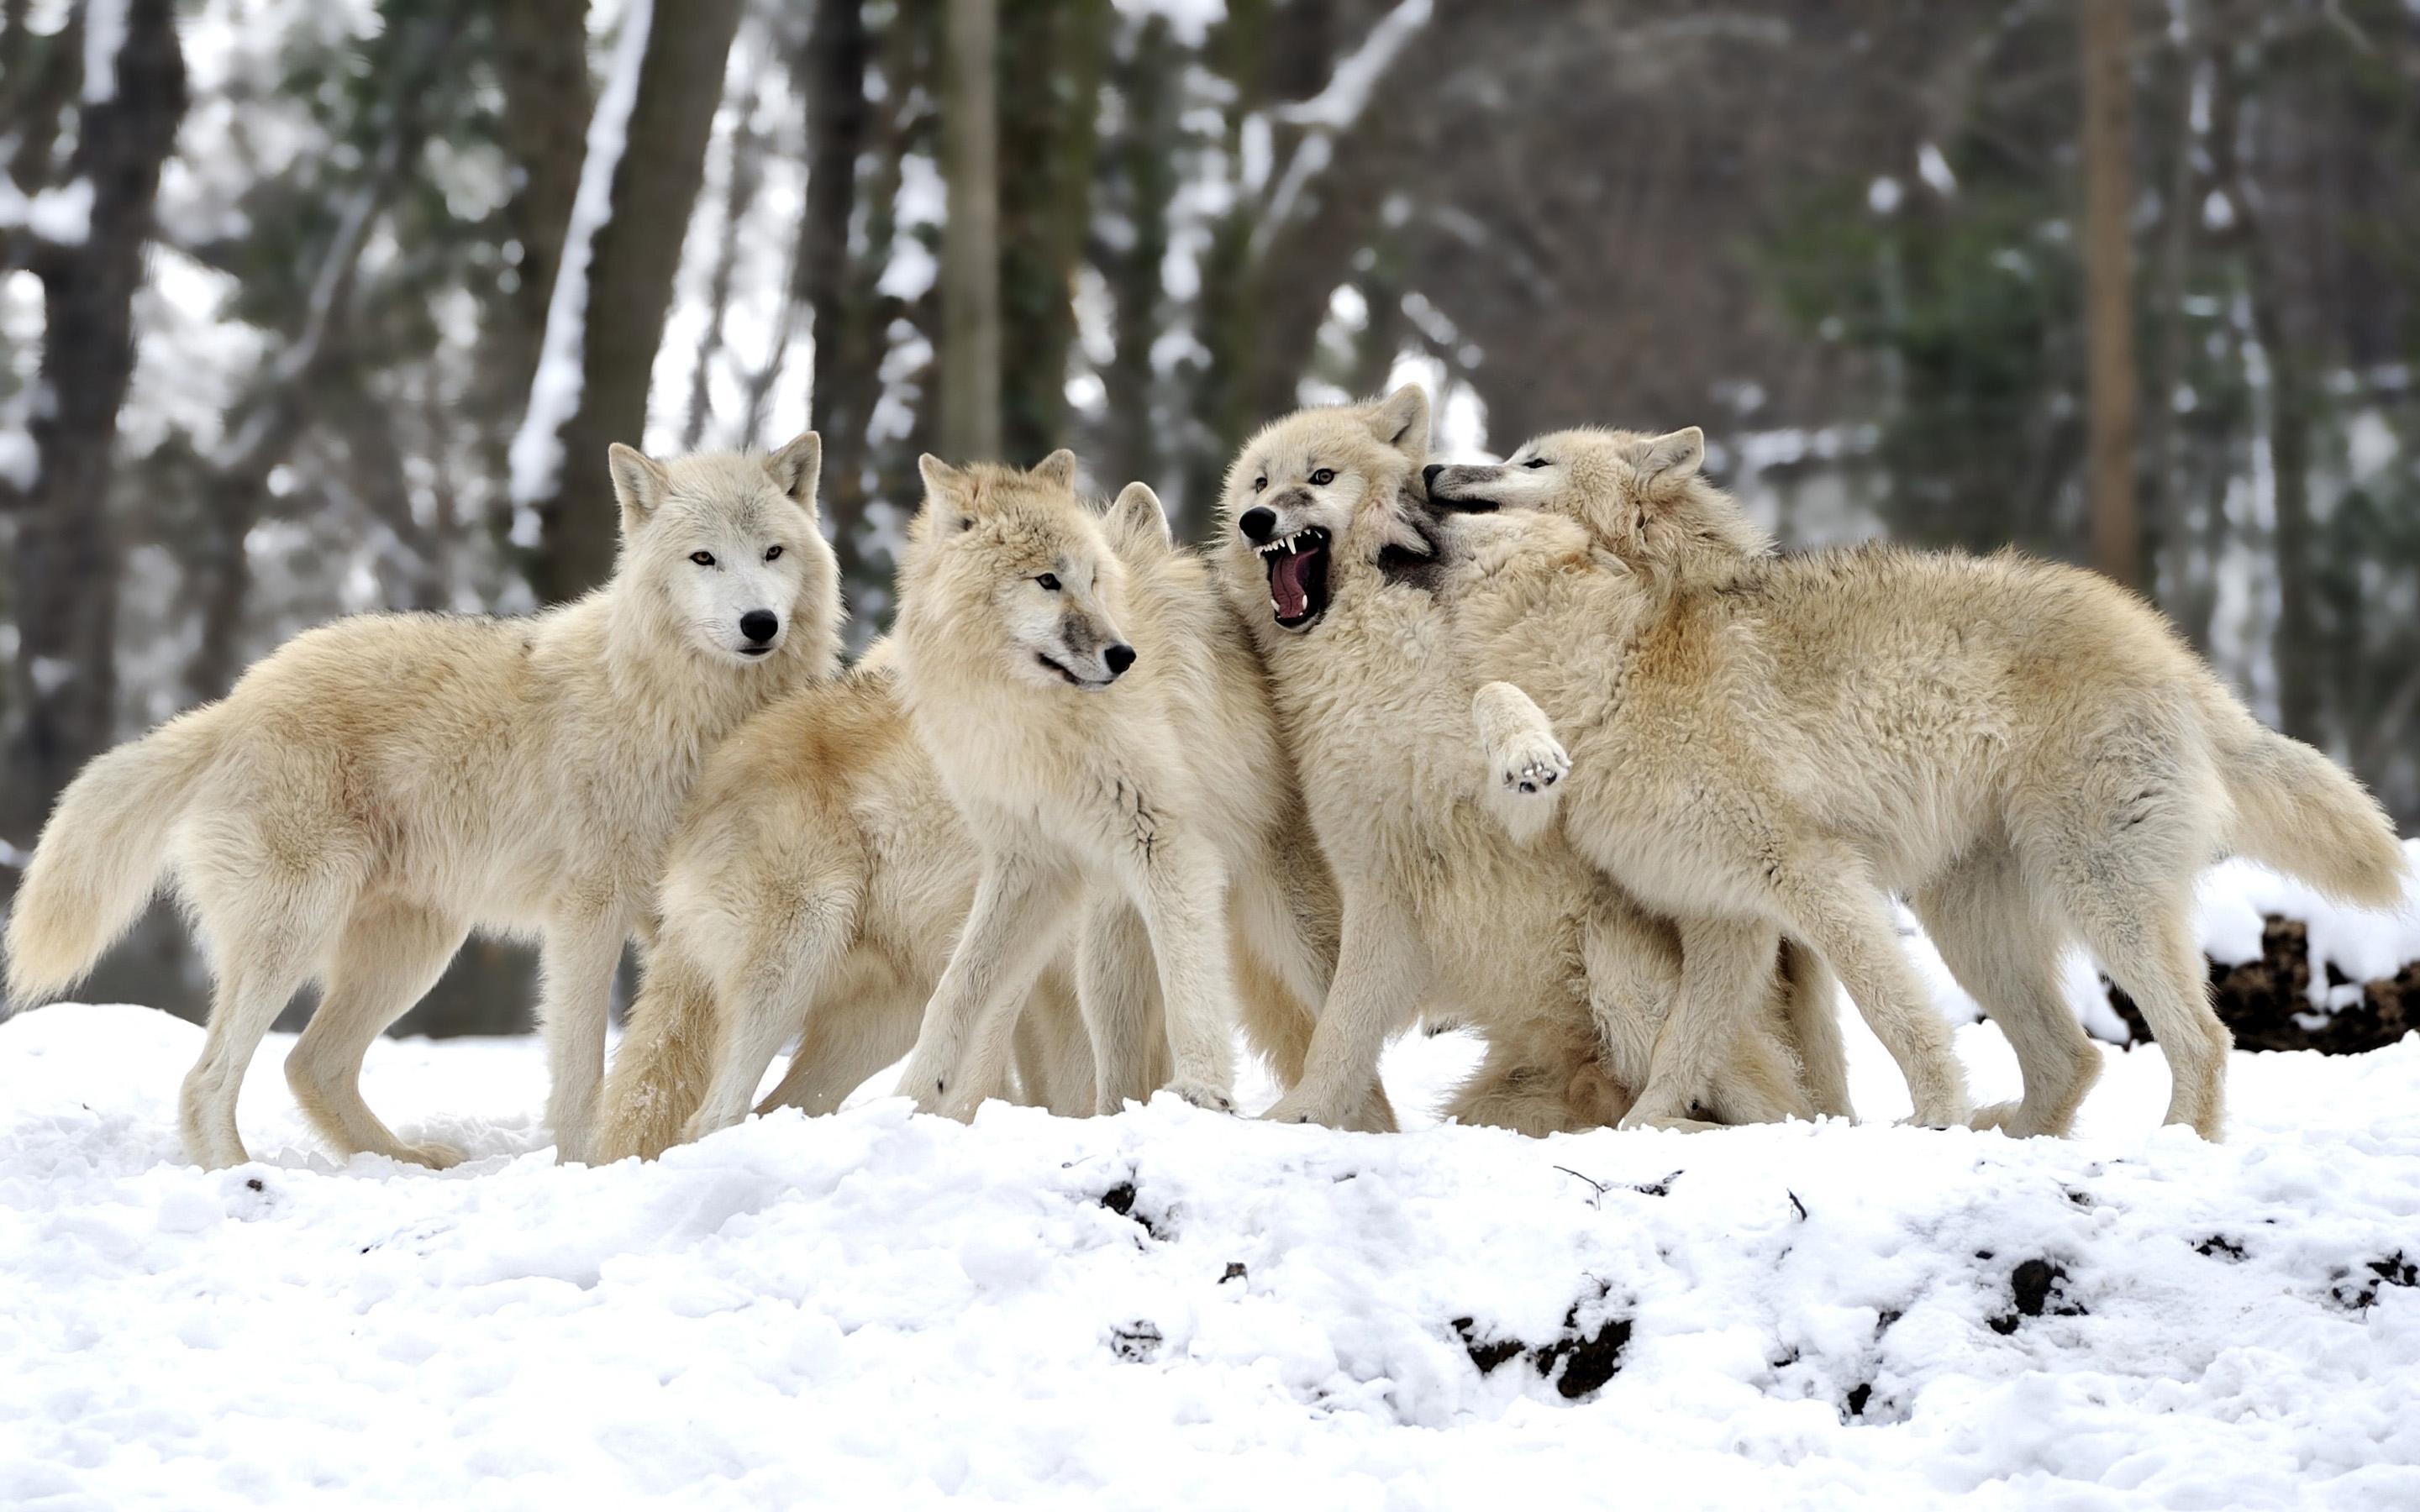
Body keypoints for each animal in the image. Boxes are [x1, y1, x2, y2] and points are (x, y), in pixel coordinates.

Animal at [4, 435, 840, 1168]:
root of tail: (232, 705)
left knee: (309, 1064)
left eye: (773, 553)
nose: (760, 624)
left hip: (413, 951)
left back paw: (403, 1162)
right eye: (703, 558)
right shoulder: (589, 913)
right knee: (207, 1079)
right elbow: (580, 1070)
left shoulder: (683, 919)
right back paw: (240, 1179)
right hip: (299, 929)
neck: (683, 709)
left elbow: (674, 1056)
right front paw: (583, 1167)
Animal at [885, 452, 1395, 1129]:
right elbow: (955, 991)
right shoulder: (1030, 865)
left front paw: (1203, 1091)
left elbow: (1191, 986)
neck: (1027, 716)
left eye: (1095, 580)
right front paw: (912, 1099)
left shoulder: (1166, 845)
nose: (1123, 655)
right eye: (1047, 581)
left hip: (1300, 929)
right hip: (1106, 947)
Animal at [1214, 389, 1847, 1133]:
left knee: (1762, 1112)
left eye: (1320, 477)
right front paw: (1301, 1117)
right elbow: (1338, 1033)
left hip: (1616, 959)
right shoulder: (1377, 878)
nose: (1257, 520)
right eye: (1258, 483)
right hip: (1498, 1100)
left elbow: (1494, 695)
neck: (1368, 648)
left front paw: (1529, 752)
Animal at [1425, 425, 2410, 1139]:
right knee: (2072, 1059)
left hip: (2095, 894)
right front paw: (1640, 1136)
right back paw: (2010, 1140)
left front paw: (1932, 1116)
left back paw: (2167, 1150)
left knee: (2200, 1039)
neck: (1626, 663)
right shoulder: (1725, 920)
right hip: (1973, 923)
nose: (1431, 468)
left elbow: (1893, 1018)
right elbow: (1680, 1052)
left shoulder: (1814, 879)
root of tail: (2177, 656)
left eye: (1530, 462)